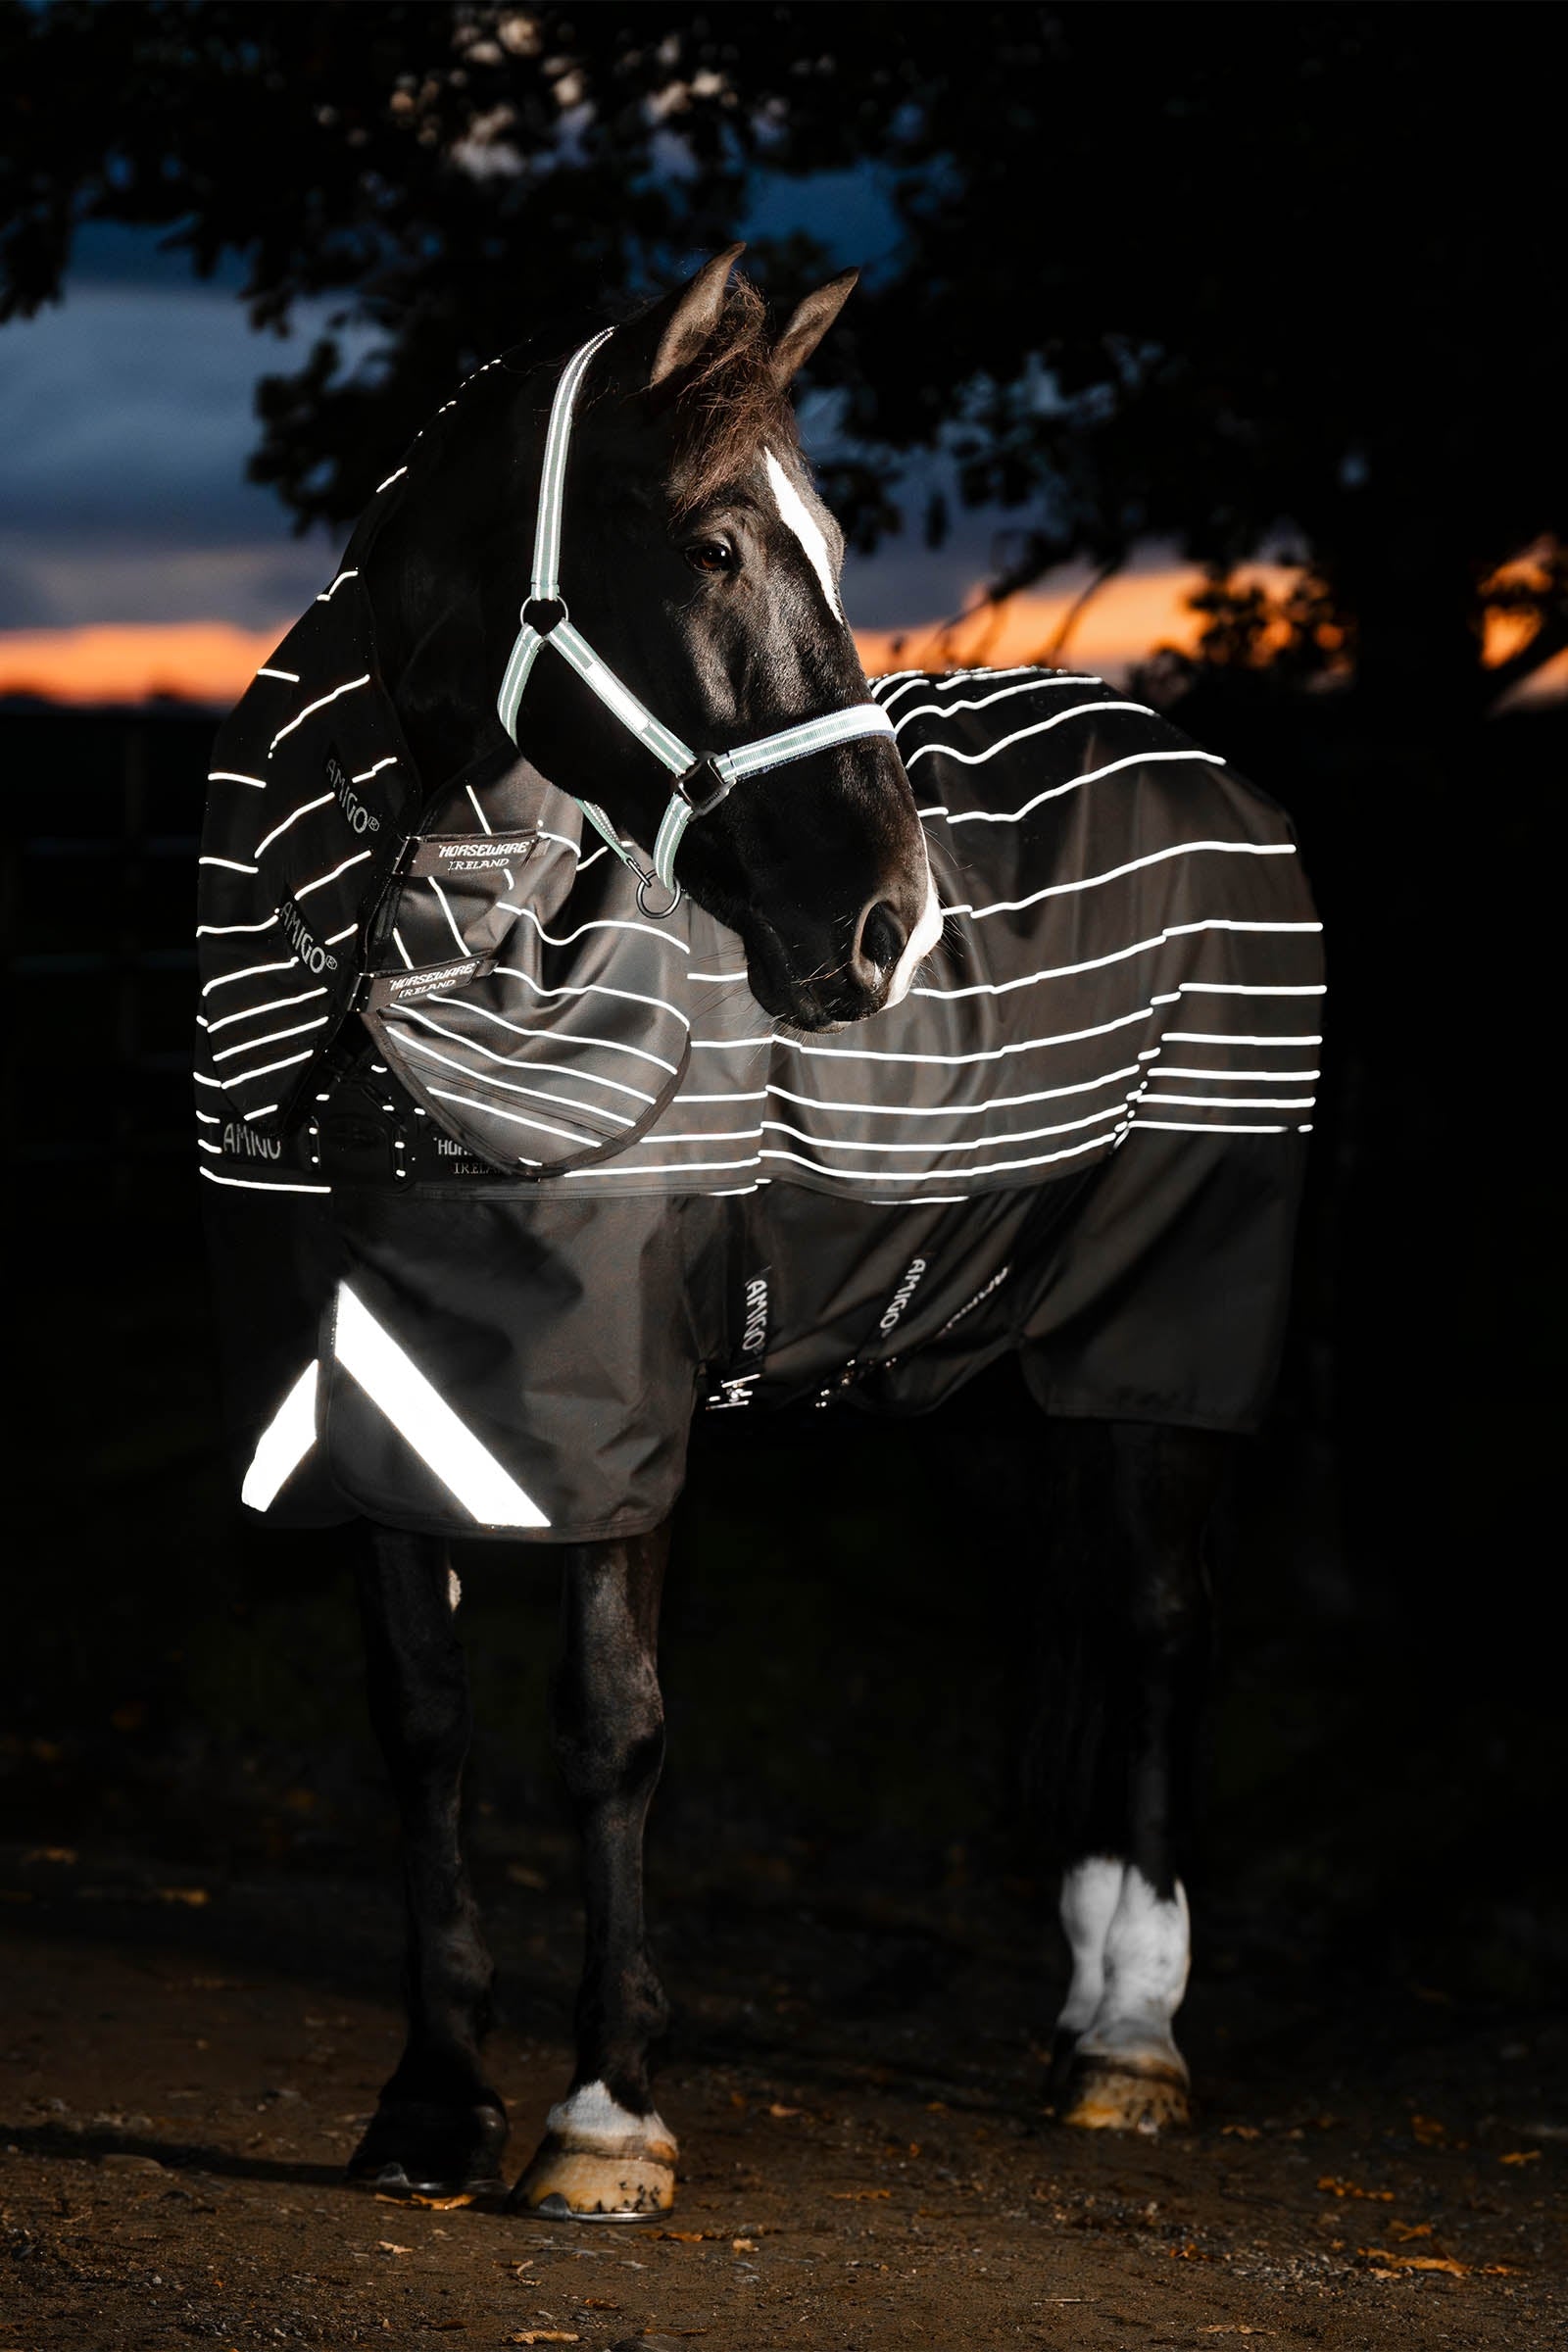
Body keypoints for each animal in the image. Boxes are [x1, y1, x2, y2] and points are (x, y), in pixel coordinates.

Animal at [194, 248, 1320, 2219]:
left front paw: (606, 2115)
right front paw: (430, 2103)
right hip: (987, 1352)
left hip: (1164, 1334)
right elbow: (425, 1726)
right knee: (1075, 1622)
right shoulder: (375, 1401)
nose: (885, 925)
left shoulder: (619, 1411)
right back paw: (1086, 1995)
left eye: (834, 546)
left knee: (1161, 1624)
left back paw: (1131, 2041)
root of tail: (1201, 761)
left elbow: (611, 1723)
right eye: (717, 546)